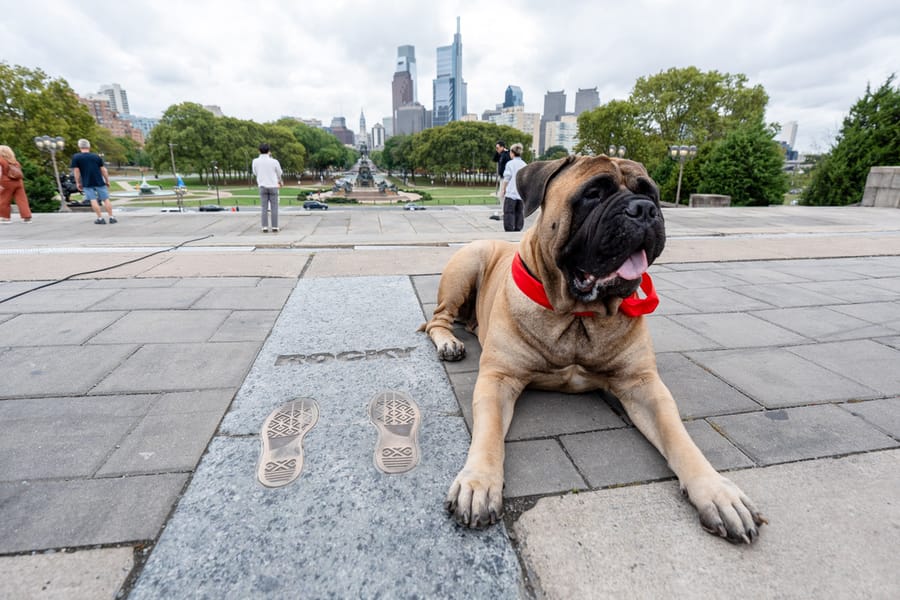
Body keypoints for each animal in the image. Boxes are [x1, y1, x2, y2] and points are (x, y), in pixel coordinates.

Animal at [424, 154, 768, 544]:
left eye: (651, 193)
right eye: (593, 194)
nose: (644, 209)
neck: (579, 314)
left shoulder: (643, 385)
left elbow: (679, 438)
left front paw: (718, 492)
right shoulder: (498, 378)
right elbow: (489, 433)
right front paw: (479, 483)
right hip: (467, 265)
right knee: (437, 319)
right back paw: (449, 343)